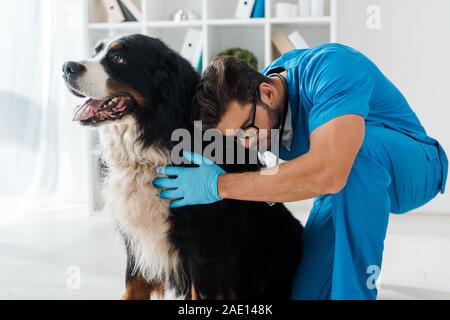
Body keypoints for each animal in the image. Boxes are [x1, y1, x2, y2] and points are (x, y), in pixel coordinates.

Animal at [61, 33, 304, 298]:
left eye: (118, 57)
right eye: (96, 51)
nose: (67, 67)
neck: (149, 148)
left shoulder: (205, 254)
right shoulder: (137, 246)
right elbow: (131, 288)